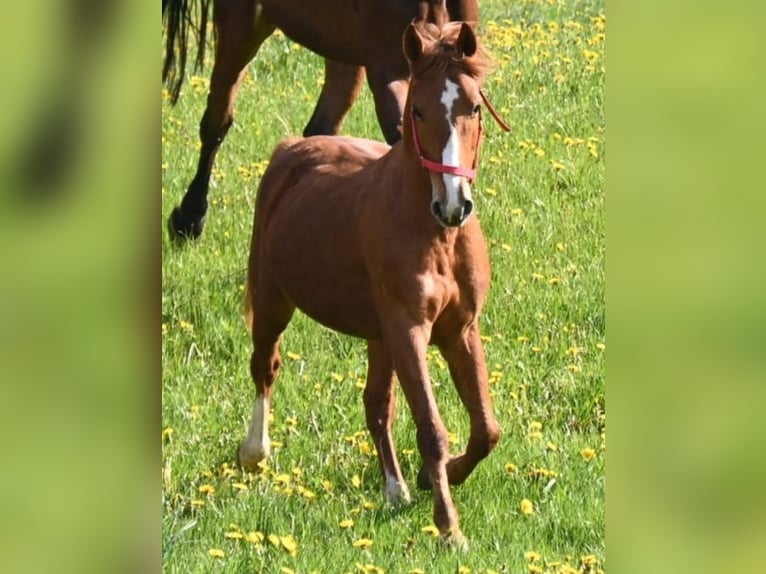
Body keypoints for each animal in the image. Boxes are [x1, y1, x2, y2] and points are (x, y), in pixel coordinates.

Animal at [242, 14, 504, 548]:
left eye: (472, 106)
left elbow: (486, 429)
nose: (454, 204)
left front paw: (429, 481)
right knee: (266, 366)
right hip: (274, 299)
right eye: (417, 109)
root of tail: (291, 148)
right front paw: (449, 528)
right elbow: (432, 428)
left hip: (378, 337)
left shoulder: (459, 330)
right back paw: (254, 451)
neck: (436, 236)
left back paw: (395, 489)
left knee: (376, 405)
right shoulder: (409, 330)